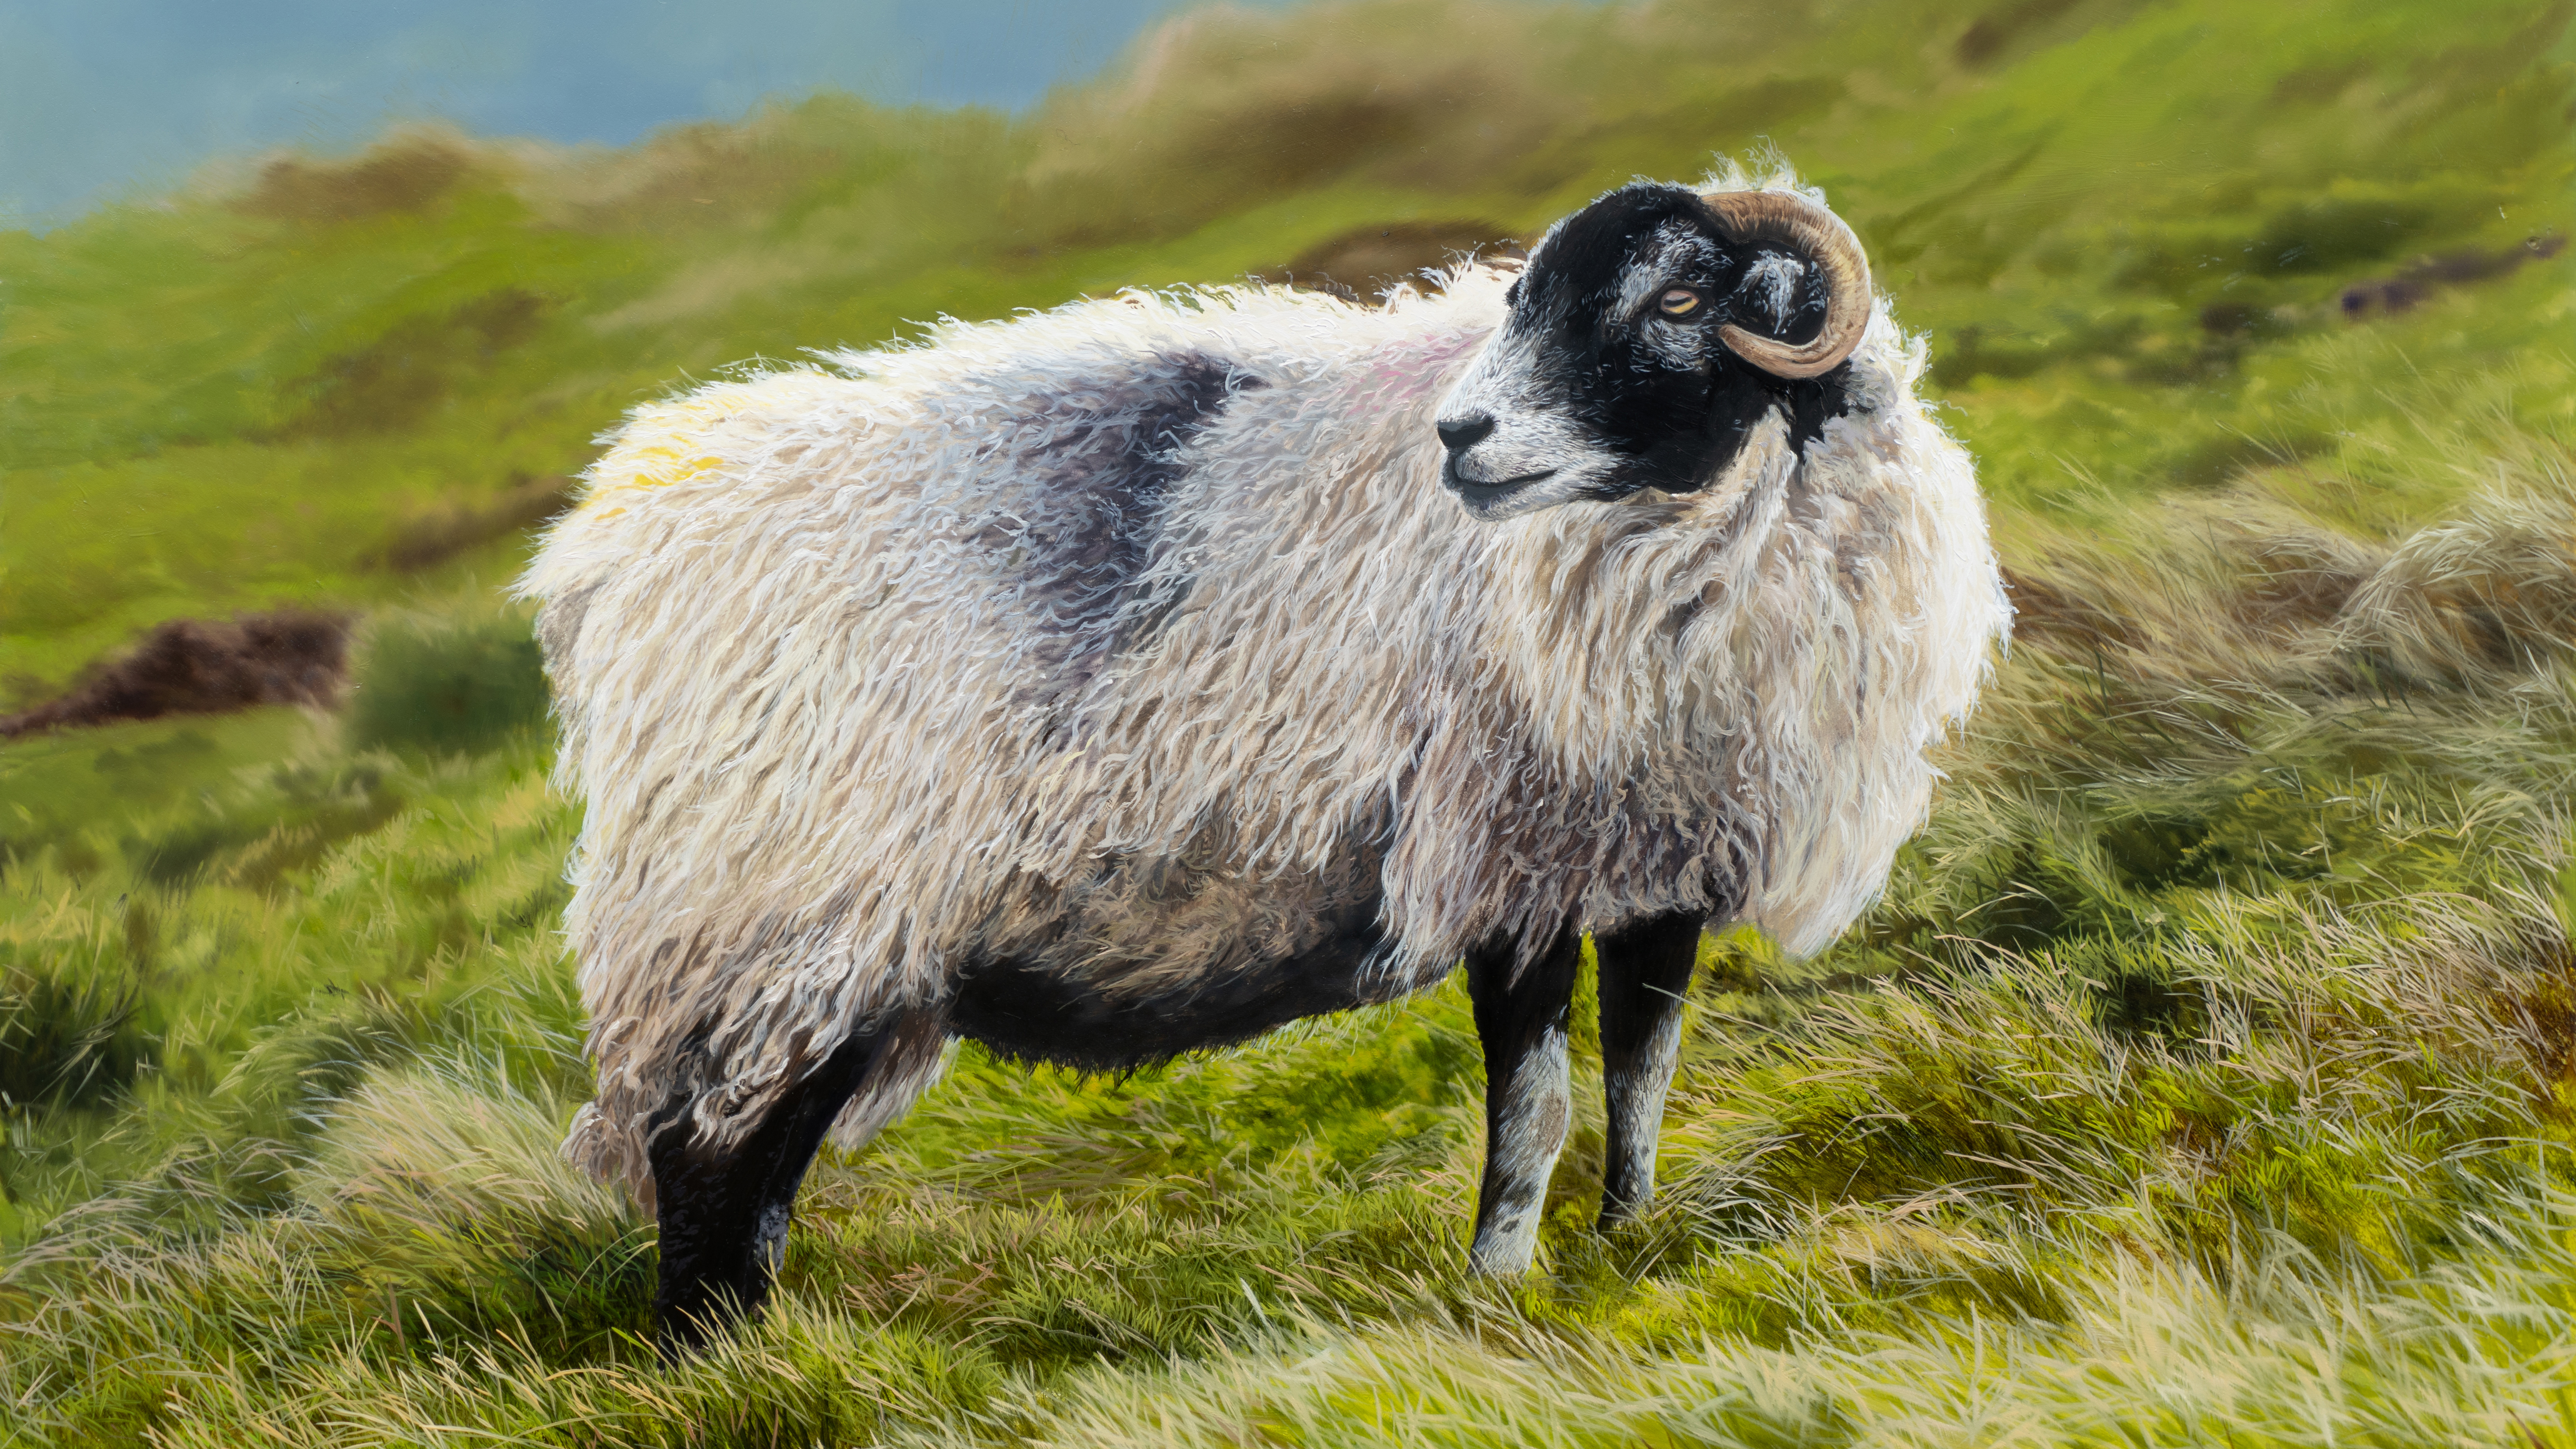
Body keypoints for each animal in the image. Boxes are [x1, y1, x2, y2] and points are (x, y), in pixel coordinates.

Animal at [517, 167, 2009, 1349]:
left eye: (1683, 301)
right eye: (1525, 299)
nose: (1461, 437)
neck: (1673, 536)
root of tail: (607, 541)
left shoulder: (1651, 858)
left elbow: (1641, 1073)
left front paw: (1624, 1242)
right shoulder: (1500, 861)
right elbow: (1530, 1107)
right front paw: (1496, 1285)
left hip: (830, 946)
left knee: (761, 1169)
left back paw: (752, 1348)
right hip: (766, 910)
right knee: (704, 1158)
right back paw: (706, 1363)